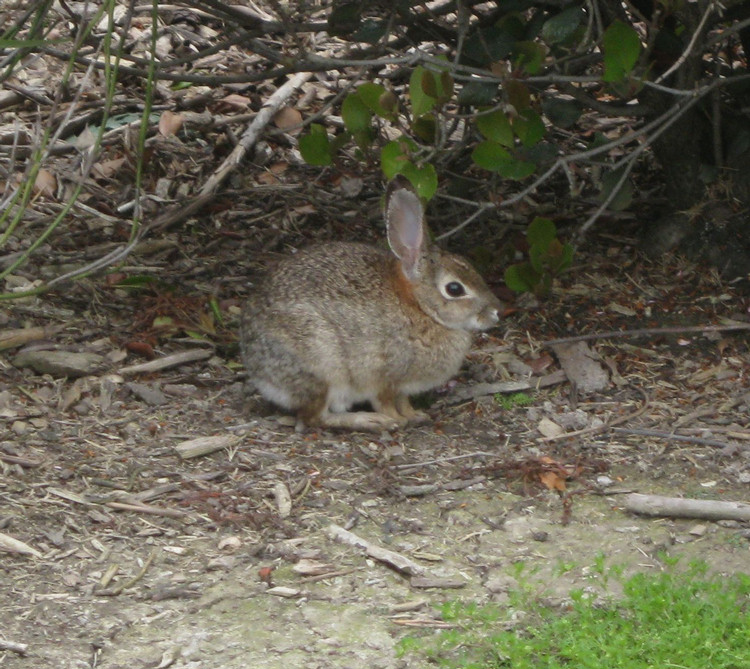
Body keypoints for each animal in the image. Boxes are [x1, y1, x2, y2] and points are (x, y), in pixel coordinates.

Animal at [241, 175, 506, 430]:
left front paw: (415, 415)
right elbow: (385, 402)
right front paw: (397, 420)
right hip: (323, 368)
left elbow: (403, 401)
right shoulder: (383, 376)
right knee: (313, 419)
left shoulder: (402, 387)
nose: (496, 311)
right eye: (454, 289)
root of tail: (256, 367)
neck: (421, 308)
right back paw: (370, 421)